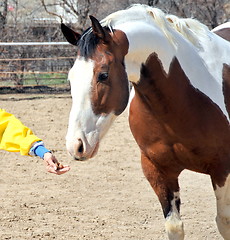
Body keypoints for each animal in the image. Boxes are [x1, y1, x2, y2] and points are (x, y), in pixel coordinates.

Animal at [61, 4, 230, 240]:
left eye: (103, 75)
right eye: (71, 78)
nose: (76, 145)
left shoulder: (222, 170)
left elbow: (224, 223)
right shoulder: (157, 170)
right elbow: (175, 227)